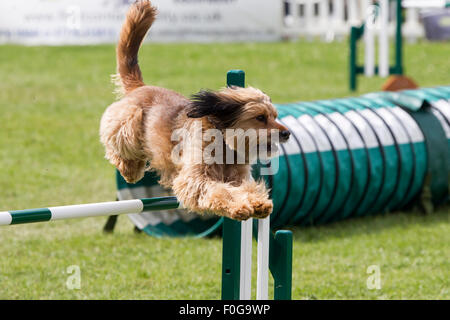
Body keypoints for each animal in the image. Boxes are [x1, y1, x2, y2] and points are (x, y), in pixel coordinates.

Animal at [100, 0, 290, 220]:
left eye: (275, 115)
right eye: (260, 117)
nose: (287, 133)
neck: (225, 146)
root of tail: (141, 86)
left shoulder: (237, 177)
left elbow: (246, 188)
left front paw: (258, 202)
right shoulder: (195, 177)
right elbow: (219, 190)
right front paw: (239, 207)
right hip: (128, 123)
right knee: (118, 147)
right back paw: (130, 170)